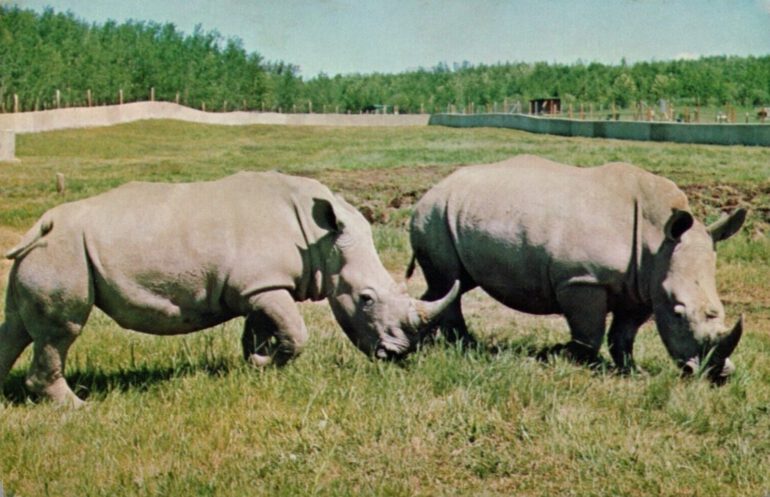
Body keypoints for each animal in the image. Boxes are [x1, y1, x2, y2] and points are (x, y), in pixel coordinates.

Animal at [0, 171, 457, 406]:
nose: (395, 355)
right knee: (61, 331)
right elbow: (296, 333)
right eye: (365, 299)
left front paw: (257, 363)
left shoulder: (256, 287)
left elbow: (263, 330)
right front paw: (264, 363)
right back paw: (76, 408)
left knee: (16, 326)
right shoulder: (263, 285)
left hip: (47, 253)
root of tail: (42, 224)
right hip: (64, 251)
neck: (321, 238)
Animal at [408, 155, 745, 382]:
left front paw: (632, 371)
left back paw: (433, 337)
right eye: (678, 313)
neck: (657, 240)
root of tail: (433, 189)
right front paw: (568, 357)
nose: (716, 375)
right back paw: (465, 346)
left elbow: (623, 335)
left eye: (719, 310)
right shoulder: (582, 279)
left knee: (452, 285)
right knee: (449, 281)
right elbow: (589, 332)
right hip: (434, 214)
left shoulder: (642, 287)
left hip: (457, 213)